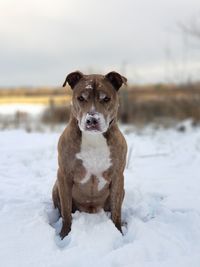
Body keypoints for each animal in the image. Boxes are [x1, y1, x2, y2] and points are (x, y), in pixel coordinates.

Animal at [52, 70, 127, 239]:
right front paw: (64, 235)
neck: (94, 138)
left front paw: (118, 232)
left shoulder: (118, 176)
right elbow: (66, 211)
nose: (92, 120)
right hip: (56, 187)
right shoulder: (64, 175)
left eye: (106, 98)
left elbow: (116, 211)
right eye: (81, 98)